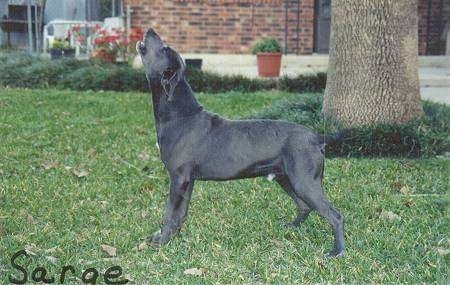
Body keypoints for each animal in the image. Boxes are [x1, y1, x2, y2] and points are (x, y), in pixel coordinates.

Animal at [136, 29, 344, 258]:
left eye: (164, 49)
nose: (150, 30)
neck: (180, 115)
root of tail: (316, 138)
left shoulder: (178, 179)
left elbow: (169, 213)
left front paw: (161, 241)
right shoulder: (187, 181)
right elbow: (180, 213)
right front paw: (172, 238)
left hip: (304, 181)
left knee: (335, 215)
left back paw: (336, 251)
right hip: (287, 178)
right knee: (305, 207)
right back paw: (291, 227)